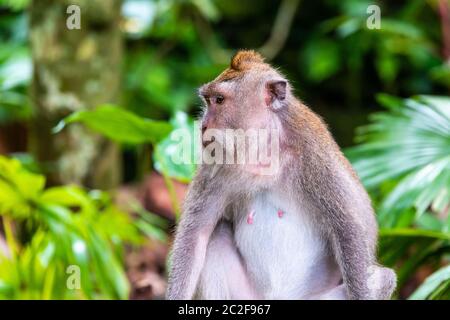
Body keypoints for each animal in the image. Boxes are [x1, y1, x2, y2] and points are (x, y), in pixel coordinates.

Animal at [167, 50, 396, 300]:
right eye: (208, 101)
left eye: (219, 100)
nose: (203, 126)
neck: (265, 148)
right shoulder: (215, 164)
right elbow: (196, 236)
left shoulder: (316, 161)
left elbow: (347, 230)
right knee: (216, 235)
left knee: (384, 278)